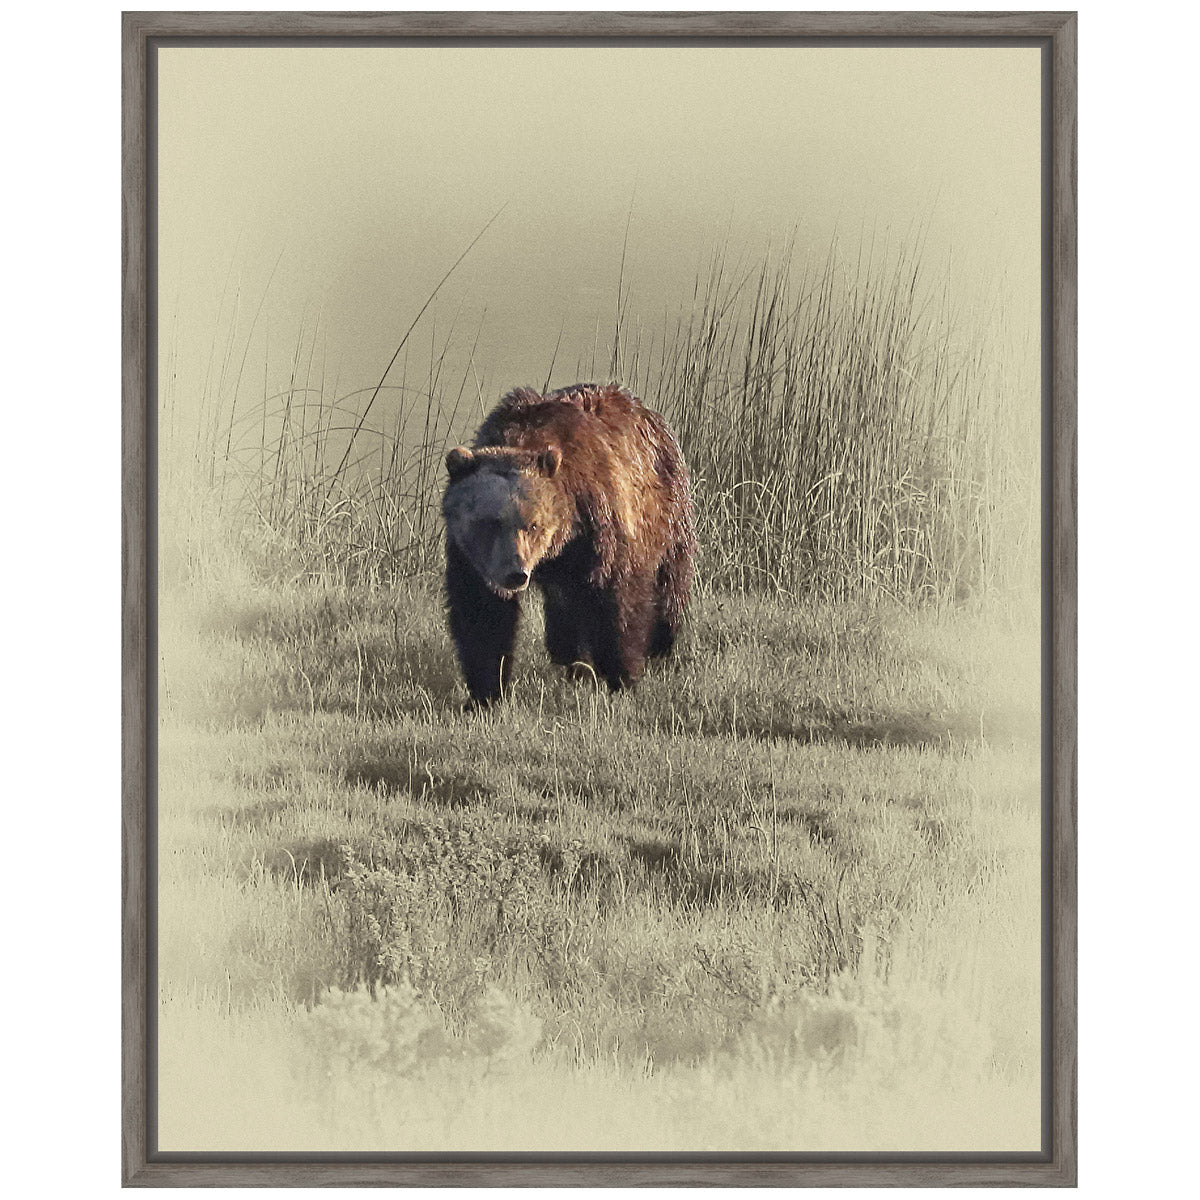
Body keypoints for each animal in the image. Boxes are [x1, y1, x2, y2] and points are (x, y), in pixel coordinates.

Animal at [441, 382, 696, 704]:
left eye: (533, 524)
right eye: (489, 522)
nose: (516, 574)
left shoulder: (599, 523)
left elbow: (619, 599)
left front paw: (622, 676)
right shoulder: (469, 558)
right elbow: (482, 614)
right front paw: (485, 693)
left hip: (668, 512)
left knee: (669, 584)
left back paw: (660, 646)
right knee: (566, 613)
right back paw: (574, 662)